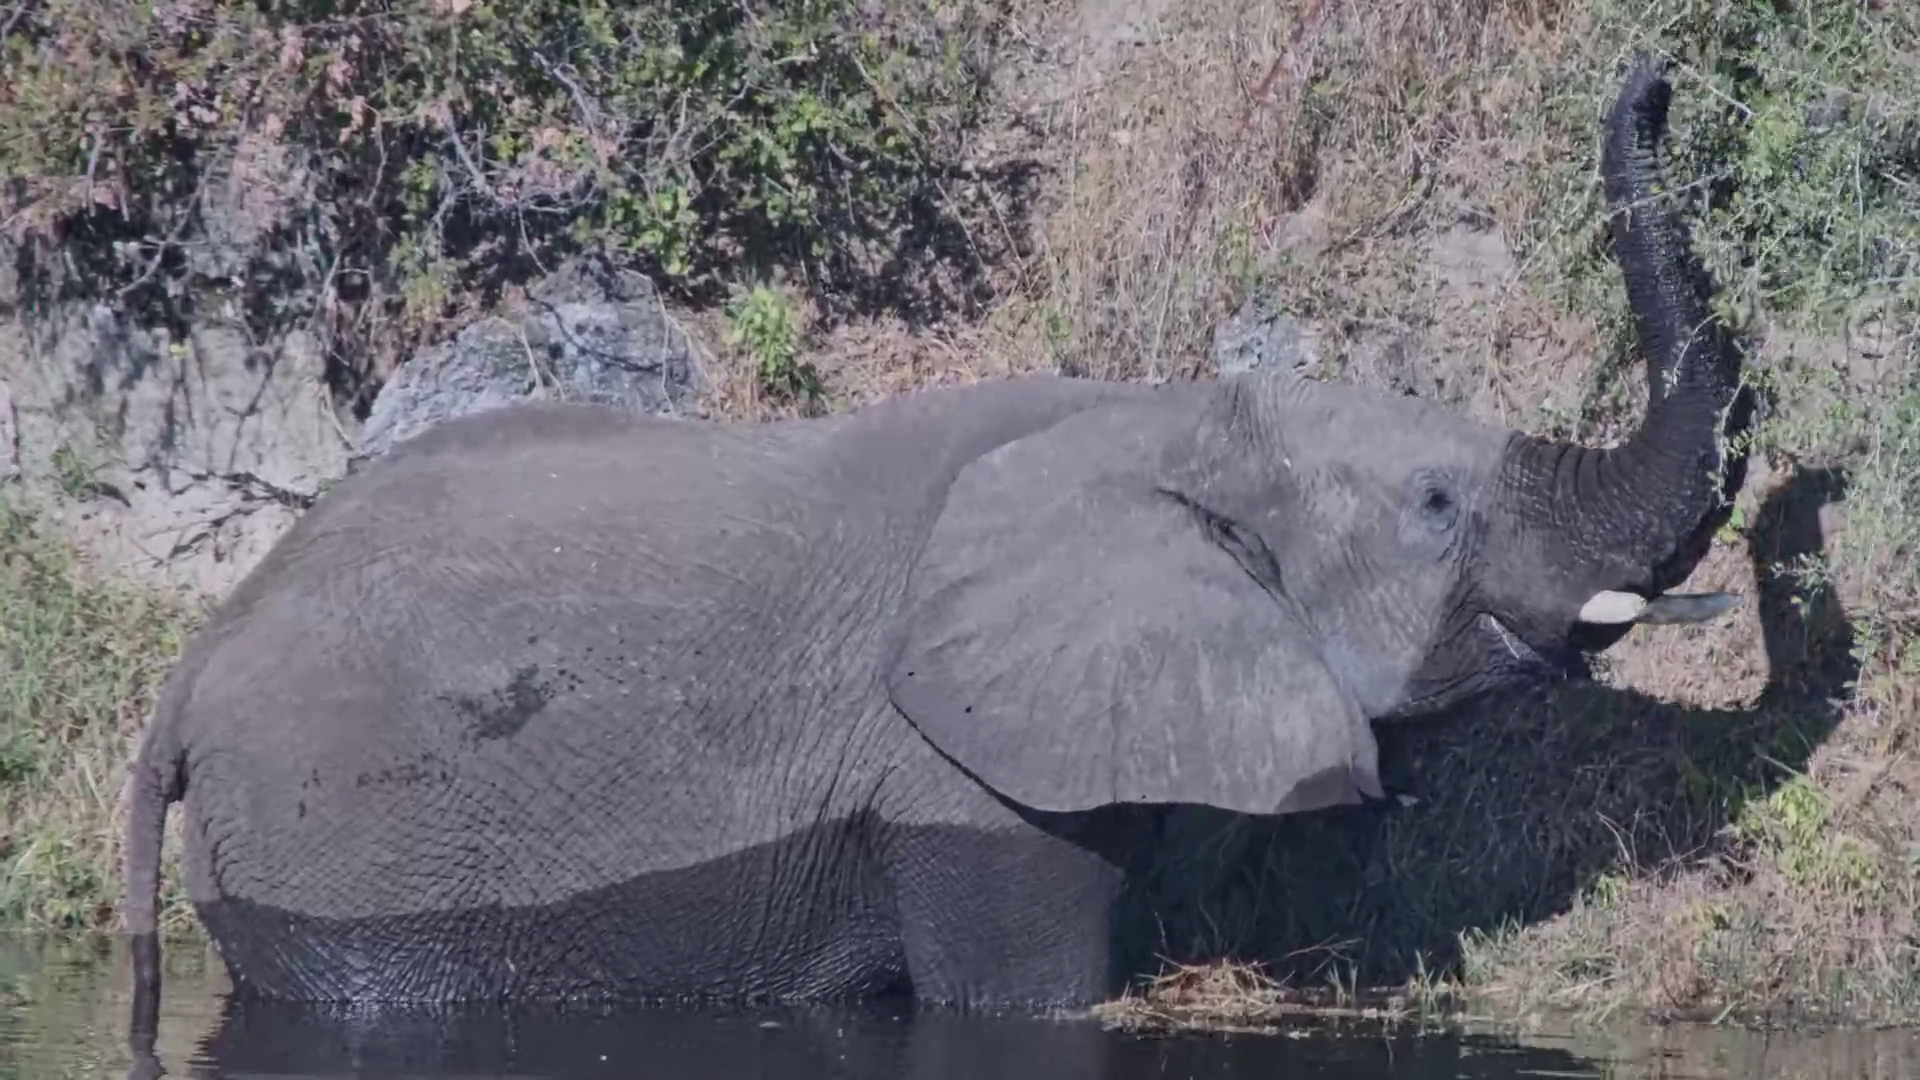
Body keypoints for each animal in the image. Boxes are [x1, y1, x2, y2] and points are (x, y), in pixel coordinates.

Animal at [120, 54, 1754, 1017]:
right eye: (1434, 507)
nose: (1660, 74)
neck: (1160, 419)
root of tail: (193, 667)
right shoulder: (955, 776)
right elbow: (1025, 997)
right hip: (345, 853)